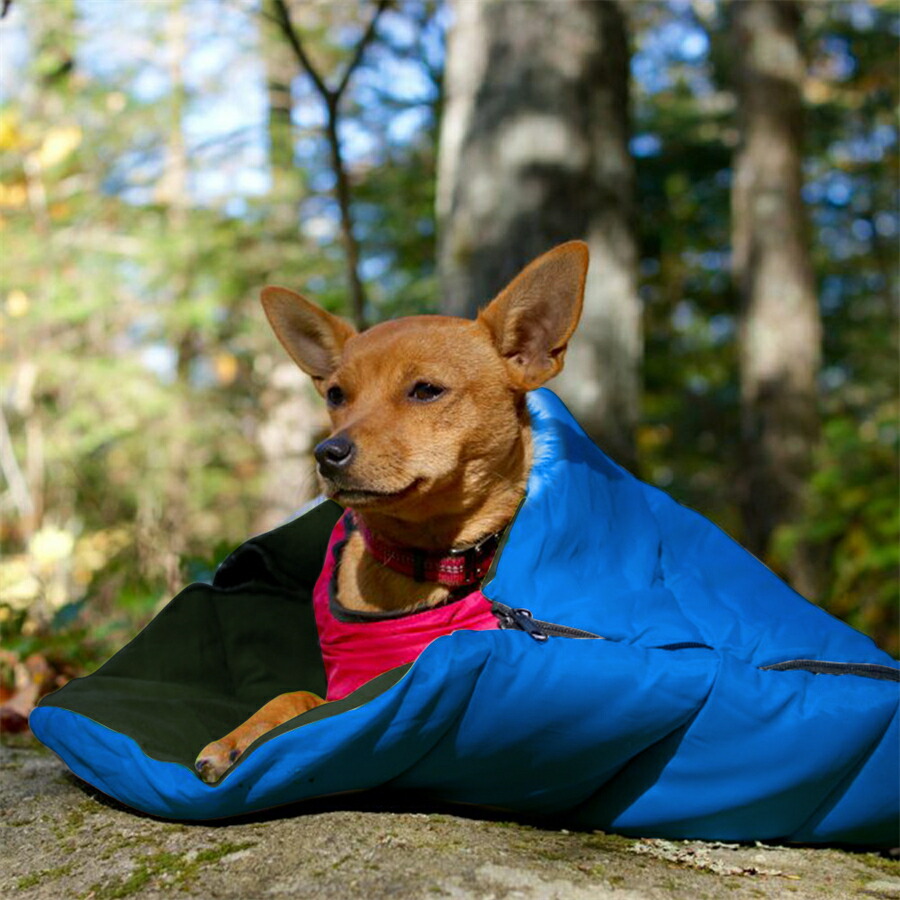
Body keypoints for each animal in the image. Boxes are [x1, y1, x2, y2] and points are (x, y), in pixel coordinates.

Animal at [195, 239, 592, 780]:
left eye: (425, 390)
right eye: (336, 395)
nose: (326, 453)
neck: (426, 561)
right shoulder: (346, 688)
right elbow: (292, 695)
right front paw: (237, 738)